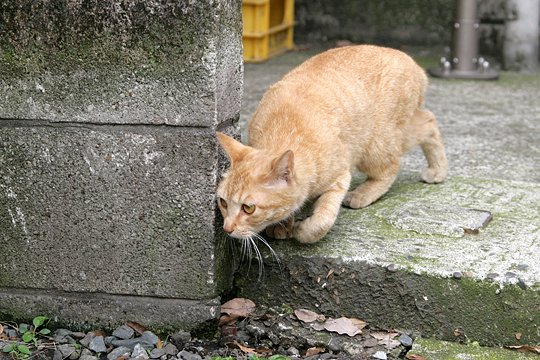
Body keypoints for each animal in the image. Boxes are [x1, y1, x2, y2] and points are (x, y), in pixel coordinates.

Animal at [215, 43, 448, 243]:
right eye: (223, 202)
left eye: (248, 208)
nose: (227, 228)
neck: (285, 130)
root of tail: (411, 62)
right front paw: (282, 224)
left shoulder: (340, 177)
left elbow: (320, 224)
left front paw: (301, 229)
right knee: (429, 120)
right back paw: (437, 169)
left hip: (376, 145)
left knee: (392, 166)